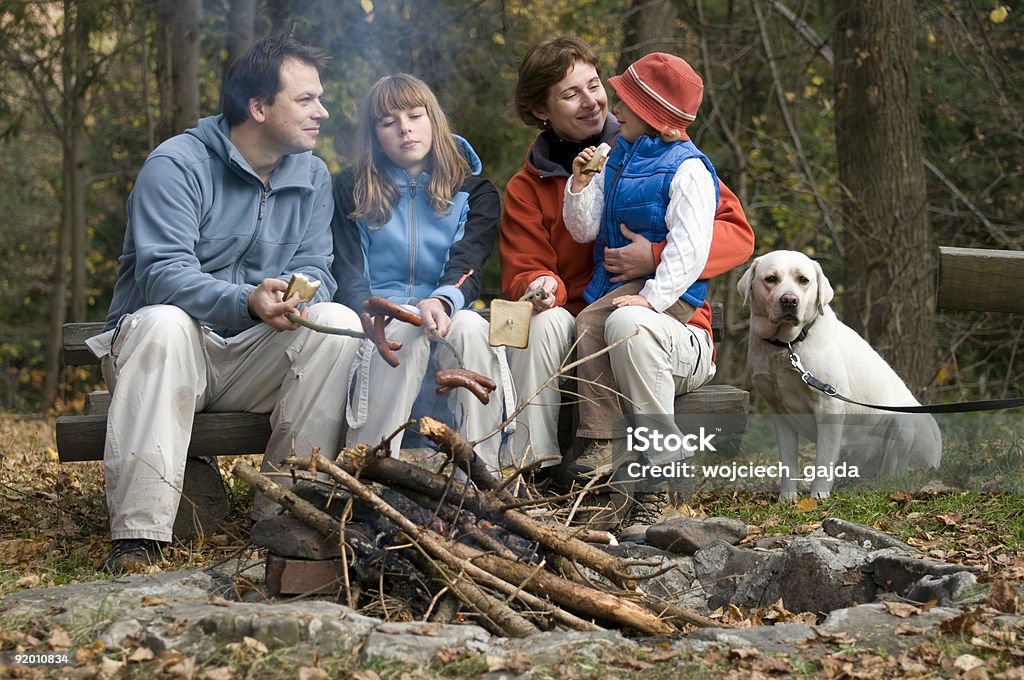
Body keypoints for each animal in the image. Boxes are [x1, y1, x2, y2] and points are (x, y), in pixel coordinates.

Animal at [737, 251, 942, 497]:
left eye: (803, 280)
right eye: (770, 279)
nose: (789, 300)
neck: (787, 345)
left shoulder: (829, 408)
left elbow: (823, 462)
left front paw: (817, 497)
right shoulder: (780, 413)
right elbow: (788, 463)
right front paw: (787, 498)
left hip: (902, 424)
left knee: (892, 474)